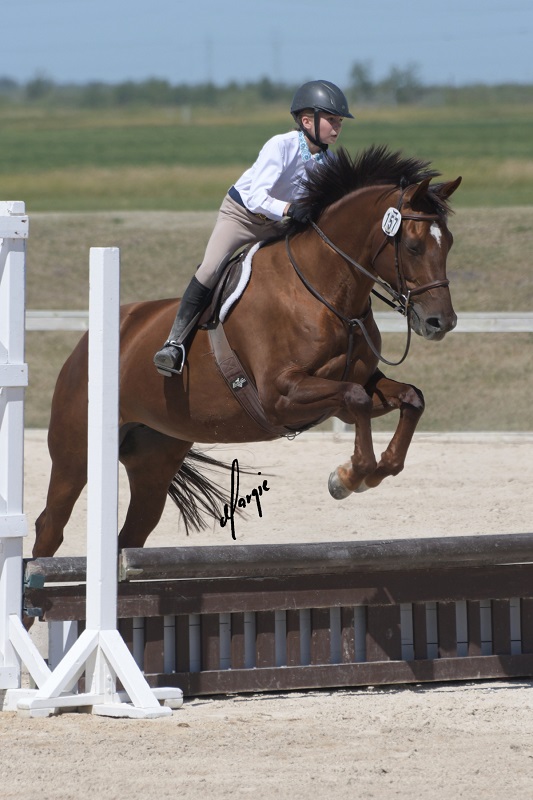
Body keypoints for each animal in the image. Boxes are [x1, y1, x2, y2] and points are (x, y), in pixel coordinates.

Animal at [33, 145, 461, 558]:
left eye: (449, 244)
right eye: (413, 246)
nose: (440, 322)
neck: (324, 291)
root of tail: (85, 344)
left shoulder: (347, 390)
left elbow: (410, 398)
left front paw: (374, 470)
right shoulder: (281, 395)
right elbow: (355, 398)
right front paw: (347, 477)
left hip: (155, 456)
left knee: (131, 535)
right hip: (76, 455)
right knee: (50, 526)